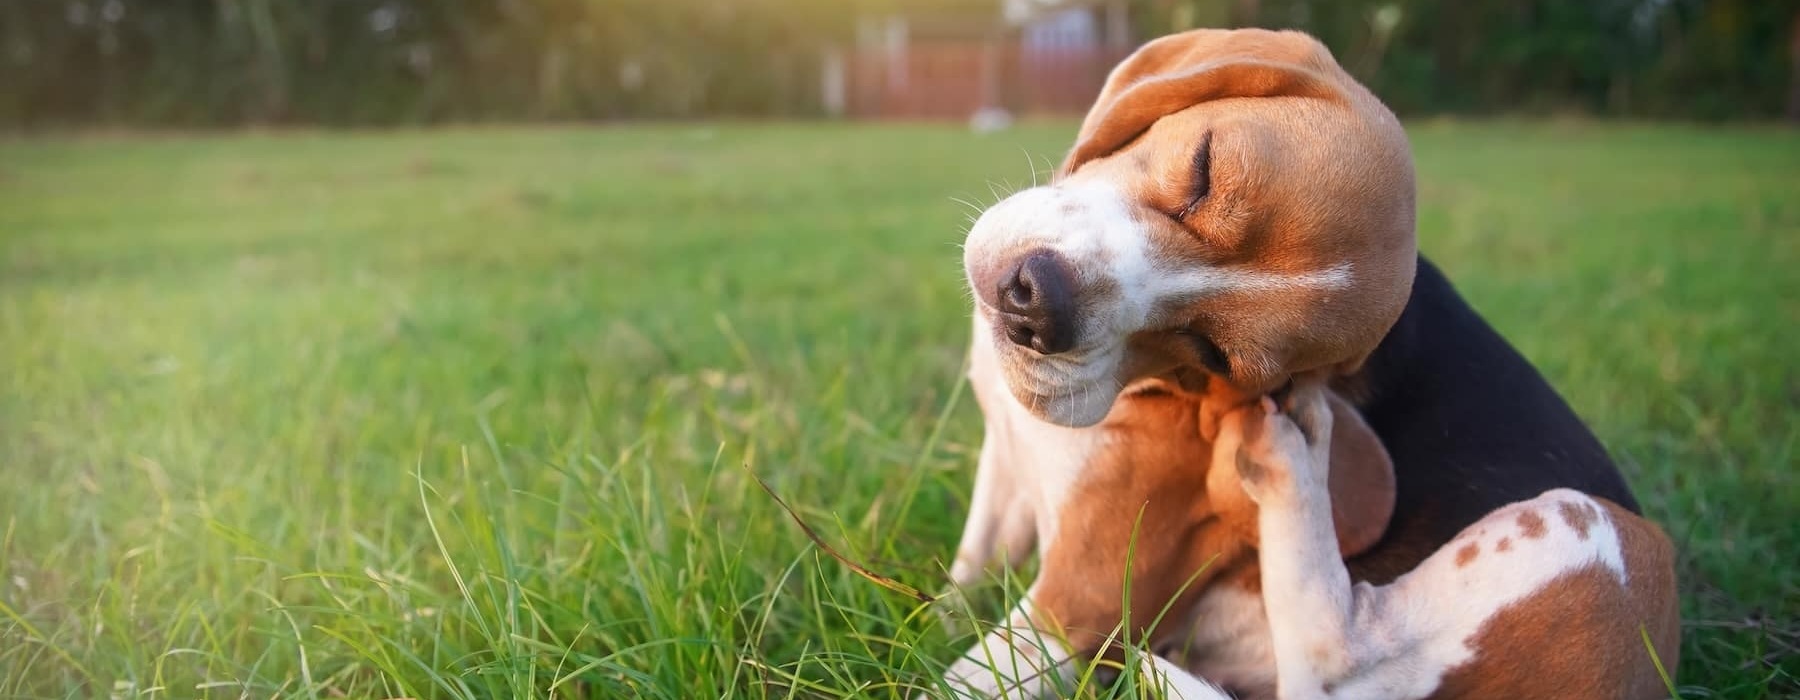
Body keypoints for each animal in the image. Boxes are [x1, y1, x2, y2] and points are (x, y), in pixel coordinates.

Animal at [936, 28, 1677, 698]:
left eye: (1213, 352)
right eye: (1204, 171)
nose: (1037, 308)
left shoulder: (1074, 609)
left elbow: (955, 679)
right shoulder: (1003, 472)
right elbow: (964, 574)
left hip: (1597, 535)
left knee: (1338, 663)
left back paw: (1293, 458)